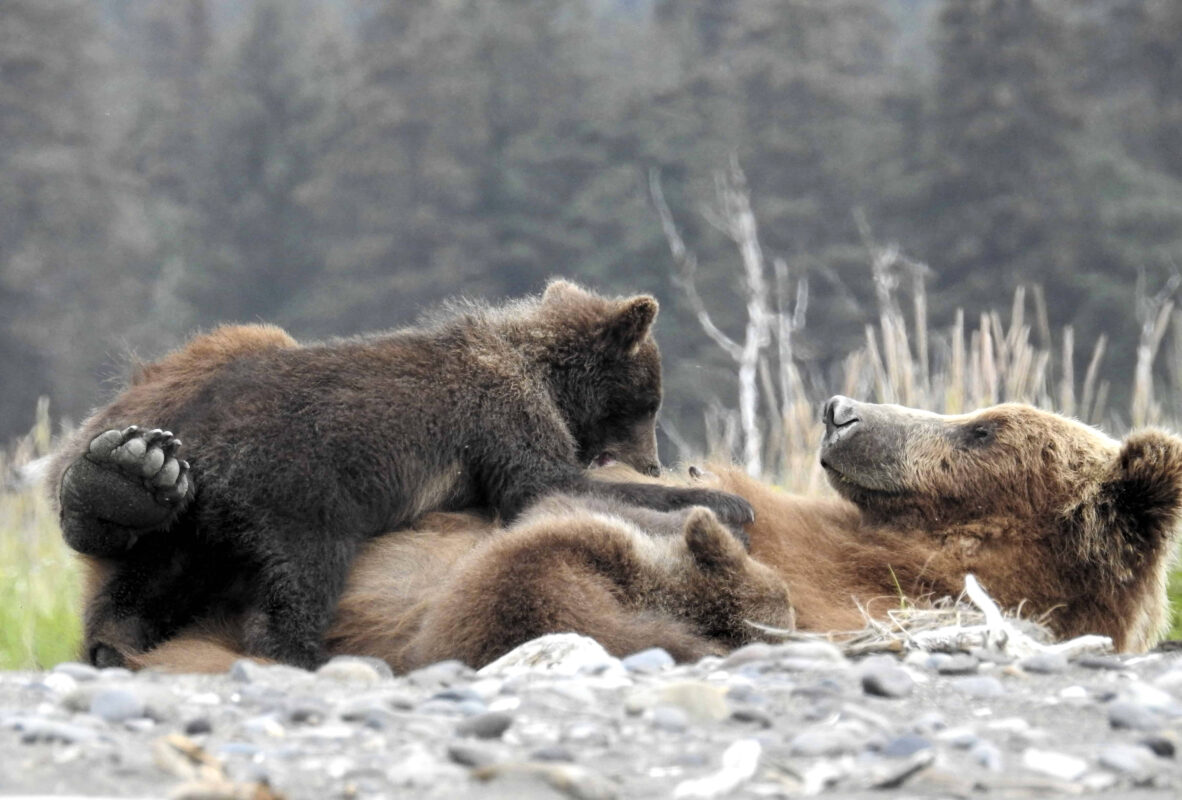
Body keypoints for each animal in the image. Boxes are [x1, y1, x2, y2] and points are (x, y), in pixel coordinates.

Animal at [48, 280, 756, 669]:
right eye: (650, 401)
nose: (654, 460)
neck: (544, 373)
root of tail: (200, 456)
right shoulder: (499, 415)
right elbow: (545, 486)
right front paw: (725, 503)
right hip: (298, 492)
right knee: (298, 579)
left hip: (197, 522)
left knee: (153, 577)